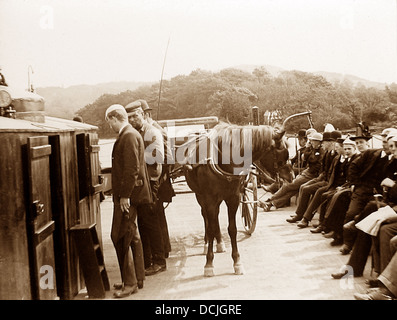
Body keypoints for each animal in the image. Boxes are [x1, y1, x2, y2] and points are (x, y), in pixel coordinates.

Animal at [180, 121, 290, 276]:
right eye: (283, 152)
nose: (291, 177)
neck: (223, 160)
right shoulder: (209, 199)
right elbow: (211, 228)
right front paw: (209, 263)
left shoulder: (233, 198)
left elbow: (232, 229)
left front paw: (237, 261)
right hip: (200, 196)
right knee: (206, 218)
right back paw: (207, 243)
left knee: (214, 219)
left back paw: (219, 242)